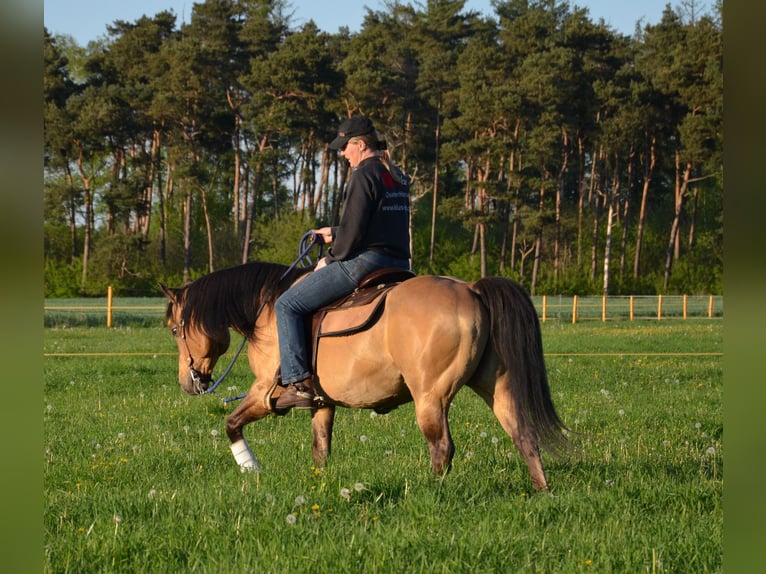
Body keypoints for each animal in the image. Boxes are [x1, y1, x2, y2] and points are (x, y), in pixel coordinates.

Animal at [161, 261, 568, 491]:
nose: (188, 383)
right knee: (524, 435)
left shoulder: (264, 394)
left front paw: (250, 467)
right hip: (496, 388)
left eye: (174, 329)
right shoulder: (322, 403)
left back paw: (433, 493)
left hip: (431, 398)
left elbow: (231, 424)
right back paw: (541, 490)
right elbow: (320, 449)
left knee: (442, 447)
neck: (267, 308)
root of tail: (469, 288)